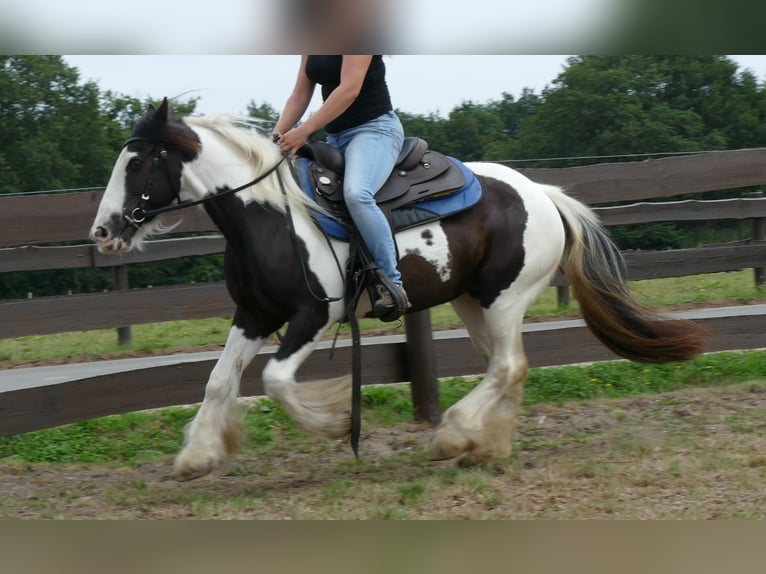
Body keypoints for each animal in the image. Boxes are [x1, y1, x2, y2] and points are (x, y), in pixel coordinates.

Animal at [90, 99, 708, 482]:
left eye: (138, 162)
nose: (102, 231)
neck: (269, 215)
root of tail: (544, 194)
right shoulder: (254, 314)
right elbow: (220, 380)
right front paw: (197, 456)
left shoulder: (312, 316)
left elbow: (275, 381)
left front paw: (339, 423)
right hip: (473, 301)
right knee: (508, 367)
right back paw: (486, 446)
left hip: (504, 299)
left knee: (508, 366)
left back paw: (454, 437)